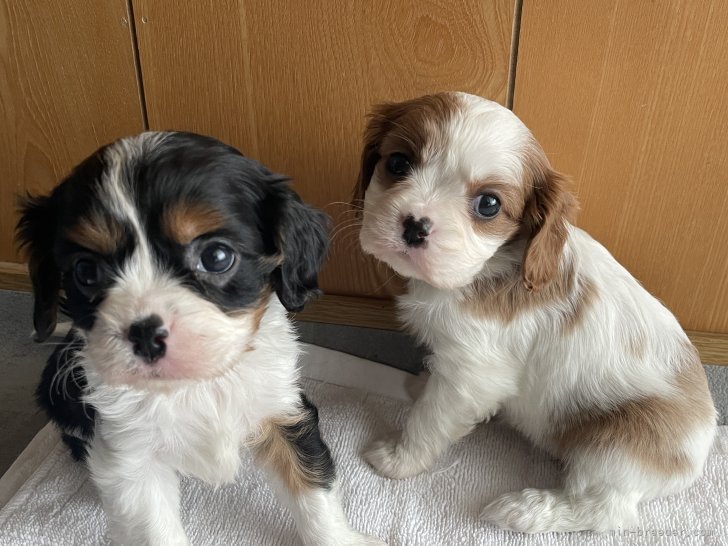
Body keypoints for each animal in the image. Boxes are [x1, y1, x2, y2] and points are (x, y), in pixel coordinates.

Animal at [17, 132, 382, 544]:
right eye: (86, 271)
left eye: (217, 256)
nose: (145, 333)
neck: (197, 384)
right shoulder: (131, 458)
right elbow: (154, 529)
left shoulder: (285, 410)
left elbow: (313, 488)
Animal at [354, 92, 716, 532]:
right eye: (397, 163)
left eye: (489, 204)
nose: (414, 226)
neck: (491, 267)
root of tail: (703, 446)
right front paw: (422, 383)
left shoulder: (472, 373)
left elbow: (429, 418)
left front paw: (398, 459)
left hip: (614, 444)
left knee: (605, 509)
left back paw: (522, 510)